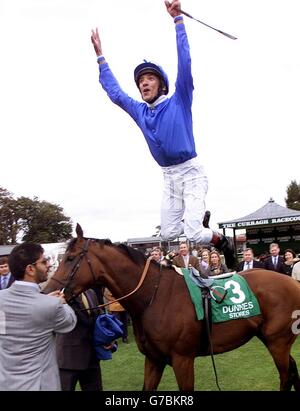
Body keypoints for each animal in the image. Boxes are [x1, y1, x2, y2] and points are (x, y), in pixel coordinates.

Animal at [43, 227, 300, 392]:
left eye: (70, 258)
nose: (47, 292)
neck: (154, 297)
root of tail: (293, 282)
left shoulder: (182, 360)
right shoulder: (154, 360)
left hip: (277, 341)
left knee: (285, 376)